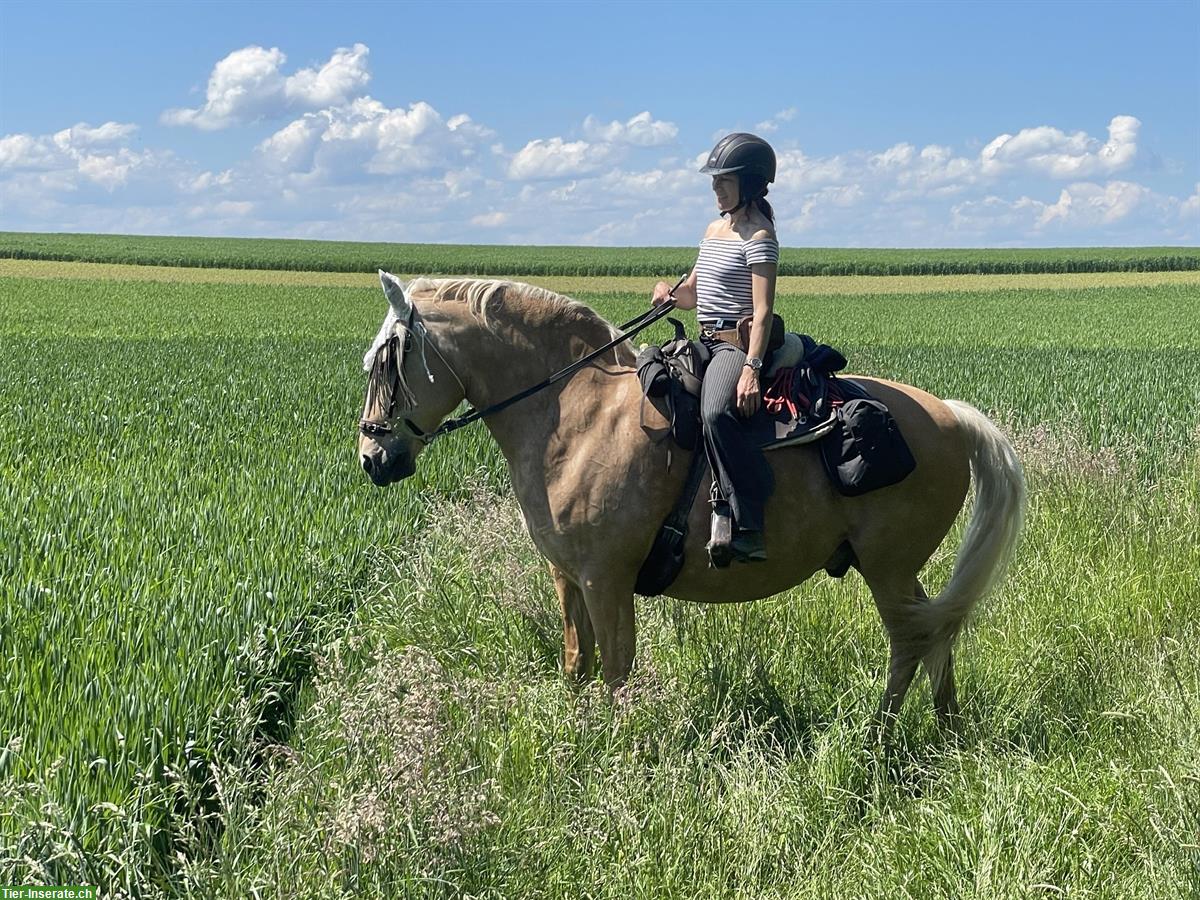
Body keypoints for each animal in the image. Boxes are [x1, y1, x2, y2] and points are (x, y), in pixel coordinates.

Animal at [357, 271, 1025, 739]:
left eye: (388, 360)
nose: (372, 458)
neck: (575, 414)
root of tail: (950, 416)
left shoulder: (605, 578)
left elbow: (615, 670)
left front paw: (615, 751)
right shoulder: (567, 576)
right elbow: (576, 663)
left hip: (887, 568)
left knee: (910, 641)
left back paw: (877, 737)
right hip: (896, 570)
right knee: (935, 631)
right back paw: (944, 729)